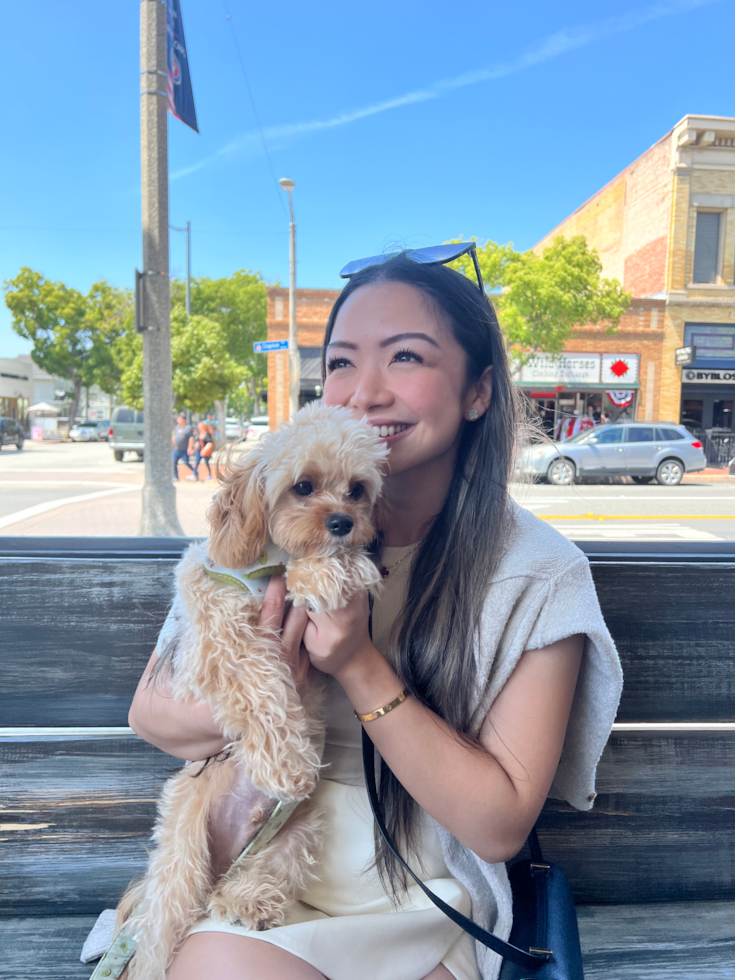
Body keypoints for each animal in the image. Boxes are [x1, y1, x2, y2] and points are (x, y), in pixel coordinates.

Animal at [115, 402, 392, 976]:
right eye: (303, 486)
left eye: (357, 489)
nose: (343, 523)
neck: (271, 562)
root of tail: (226, 857)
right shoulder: (218, 638)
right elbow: (258, 680)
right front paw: (286, 763)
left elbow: (328, 572)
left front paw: (329, 571)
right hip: (181, 857)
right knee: (158, 936)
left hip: (300, 829)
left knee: (263, 871)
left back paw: (247, 900)